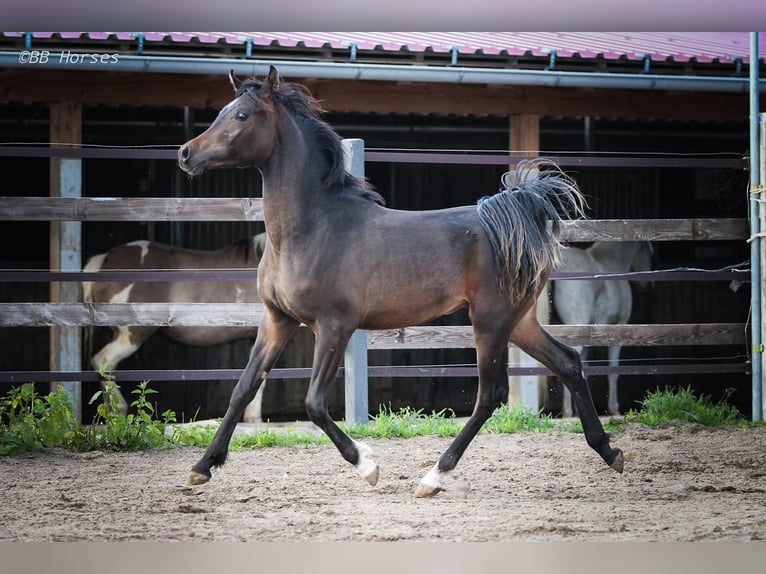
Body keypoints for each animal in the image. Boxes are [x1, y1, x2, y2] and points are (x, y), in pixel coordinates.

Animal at [176, 66, 624, 500]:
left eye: (241, 116)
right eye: (221, 111)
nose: (186, 153)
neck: (311, 230)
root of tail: (519, 216)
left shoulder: (335, 326)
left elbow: (315, 404)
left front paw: (368, 466)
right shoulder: (277, 319)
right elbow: (243, 389)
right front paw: (201, 468)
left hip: (490, 321)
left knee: (490, 395)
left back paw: (433, 477)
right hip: (518, 321)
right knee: (568, 362)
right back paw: (610, 450)